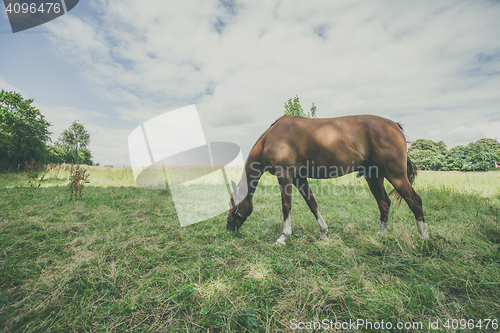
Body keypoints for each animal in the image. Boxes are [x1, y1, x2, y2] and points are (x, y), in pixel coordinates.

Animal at [227, 115, 426, 246]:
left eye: (231, 204)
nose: (229, 226)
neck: (270, 137)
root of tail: (395, 125)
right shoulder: (299, 178)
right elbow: (312, 203)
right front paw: (323, 233)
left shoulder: (285, 175)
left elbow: (286, 206)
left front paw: (283, 237)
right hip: (374, 177)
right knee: (384, 203)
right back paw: (380, 236)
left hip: (396, 176)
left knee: (415, 201)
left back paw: (424, 239)